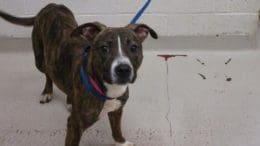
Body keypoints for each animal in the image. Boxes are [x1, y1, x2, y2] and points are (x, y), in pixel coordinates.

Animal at [0, 2, 157, 145]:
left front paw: (121, 142)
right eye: (104, 48)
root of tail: (51, 5)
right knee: (48, 74)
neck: (107, 88)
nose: (123, 69)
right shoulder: (75, 125)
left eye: (134, 48)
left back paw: (70, 100)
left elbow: (116, 130)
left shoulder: (117, 110)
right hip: (40, 60)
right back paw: (47, 92)